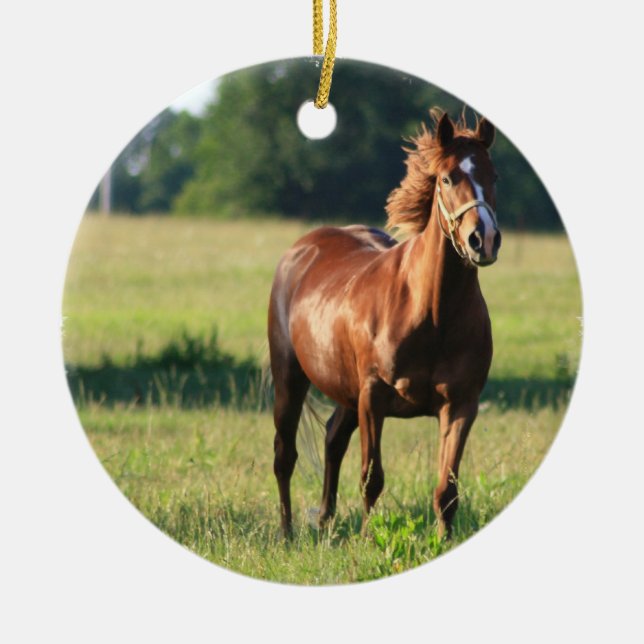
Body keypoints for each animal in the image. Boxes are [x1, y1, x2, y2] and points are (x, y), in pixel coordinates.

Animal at [268, 110, 501, 539]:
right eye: (447, 178)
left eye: (494, 176)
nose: (484, 239)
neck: (432, 314)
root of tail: (302, 249)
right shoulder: (373, 396)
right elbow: (371, 478)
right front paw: (366, 539)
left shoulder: (461, 405)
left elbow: (447, 489)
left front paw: (443, 541)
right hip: (291, 377)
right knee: (284, 454)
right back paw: (288, 533)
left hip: (346, 391)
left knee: (332, 438)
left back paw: (325, 521)